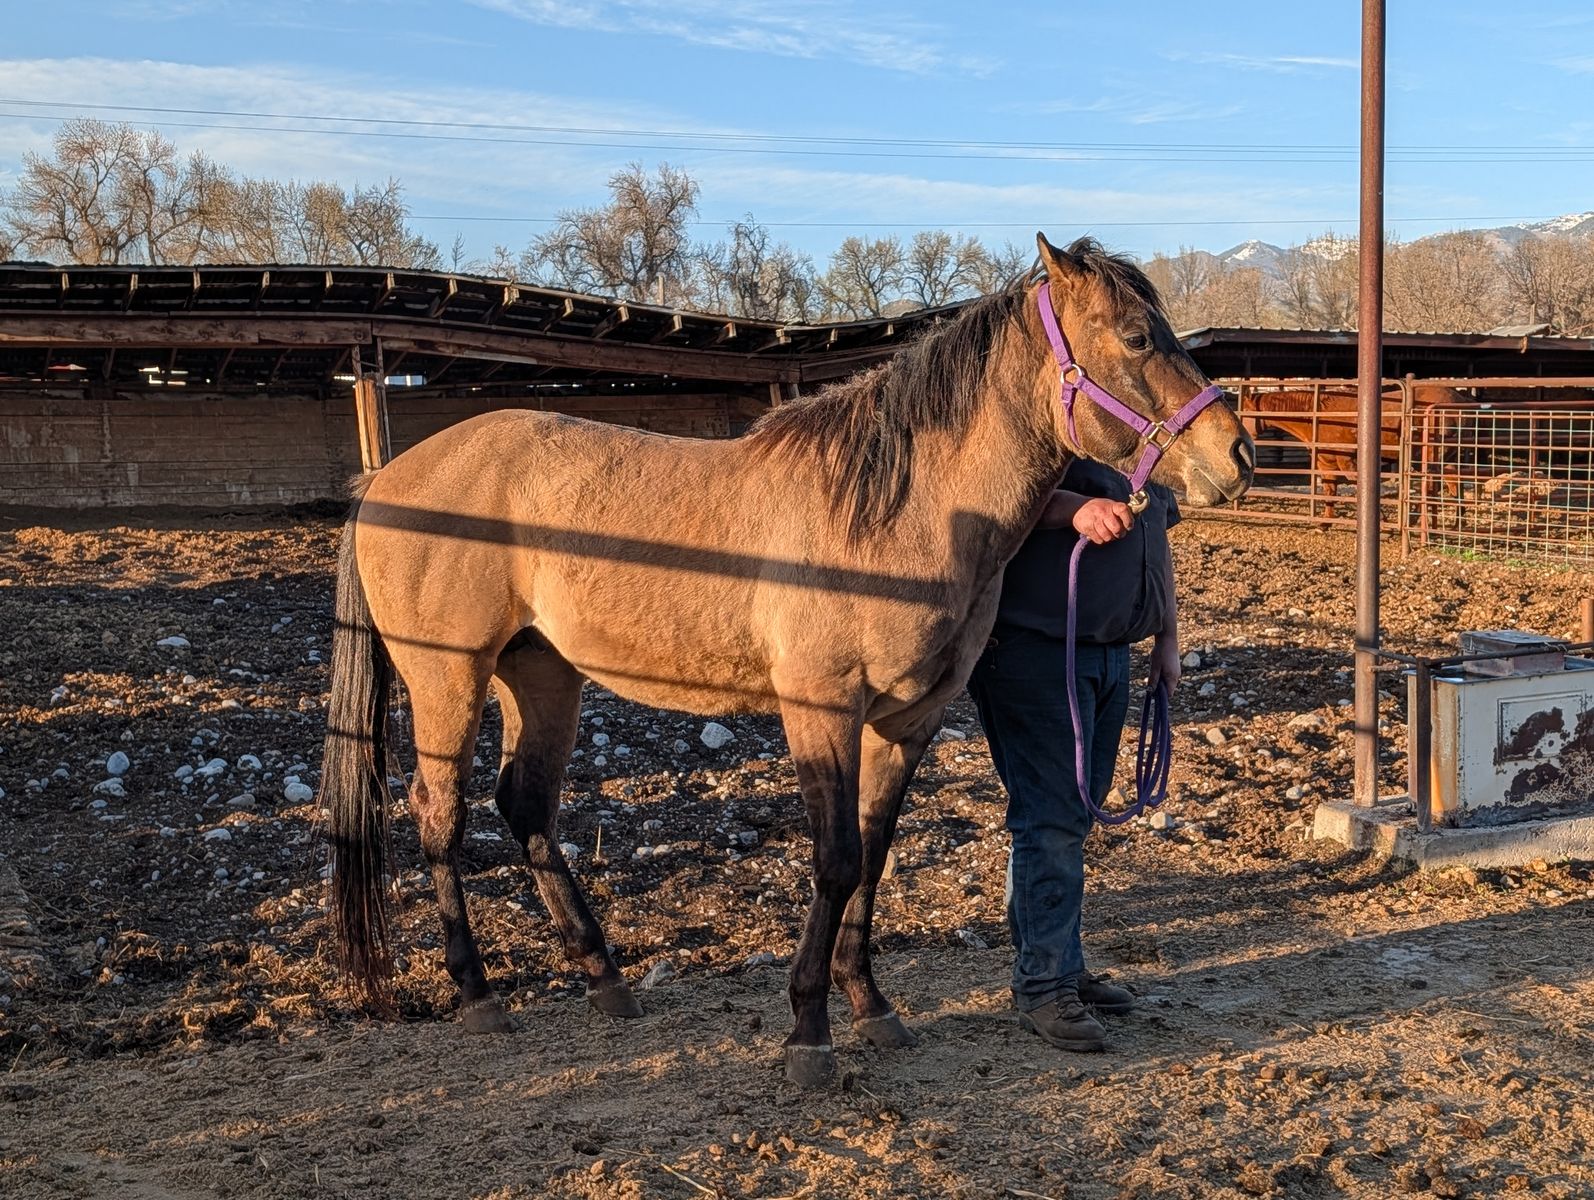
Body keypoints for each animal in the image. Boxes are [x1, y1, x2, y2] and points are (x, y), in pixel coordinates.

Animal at [319, 233, 1255, 1087]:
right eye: (1135, 337)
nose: (1237, 456)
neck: (899, 512)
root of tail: (386, 481)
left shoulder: (907, 722)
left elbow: (871, 858)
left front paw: (871, 1007)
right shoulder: (821, 710)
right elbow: (835, 859)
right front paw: (809, 1030)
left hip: (541, 674)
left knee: (526, 808)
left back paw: (606, 978)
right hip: (449, 675)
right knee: (439, 814)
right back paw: (479, 995)